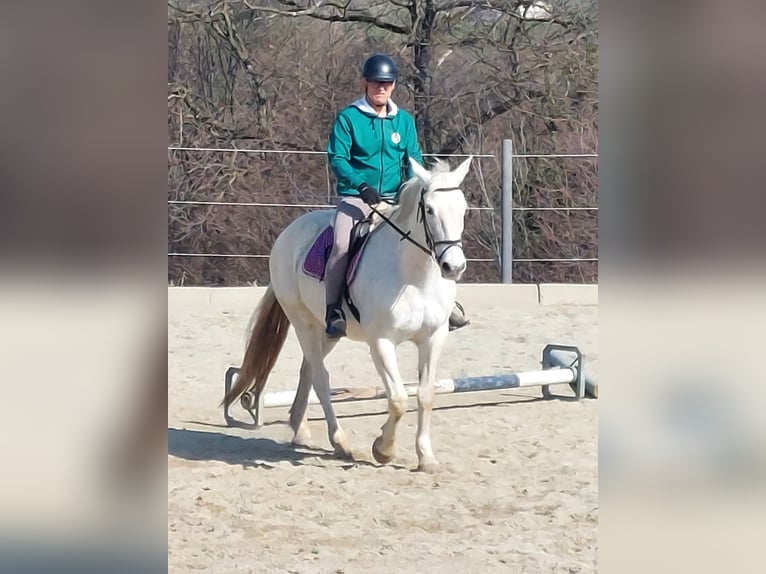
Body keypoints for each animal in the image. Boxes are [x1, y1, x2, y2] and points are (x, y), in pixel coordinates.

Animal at [223, 156, 472, 473]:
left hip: (328, 332)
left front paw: (426, 458)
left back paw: (300, 429)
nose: (454, 267)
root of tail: (288, 232)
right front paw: (383, 449)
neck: (415, 277)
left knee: (308, 370)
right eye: (428, 209)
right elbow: (398, 398)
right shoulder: (381, 342)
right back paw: (340, 442)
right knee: (320, 377)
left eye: (463, 208)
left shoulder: (434, 337)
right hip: (303, 322)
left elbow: (425, 395)